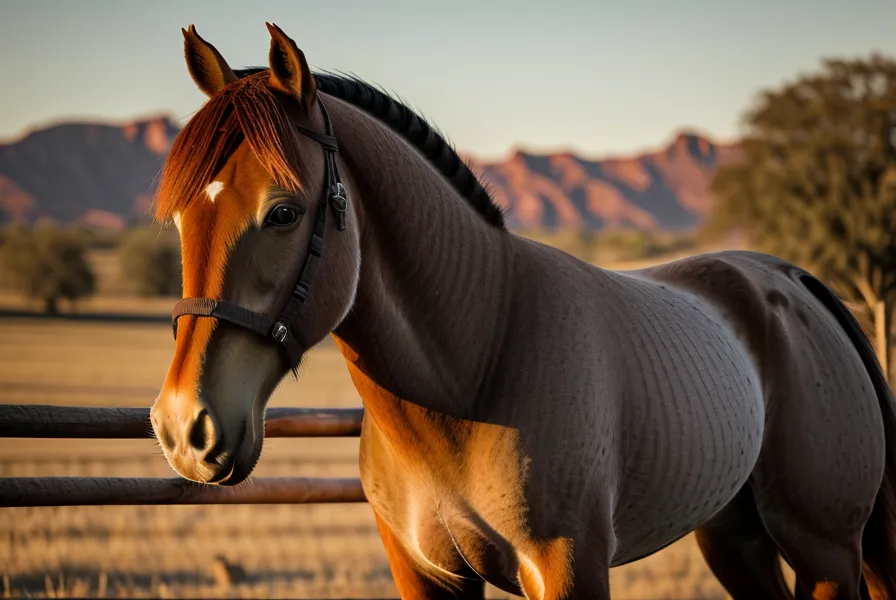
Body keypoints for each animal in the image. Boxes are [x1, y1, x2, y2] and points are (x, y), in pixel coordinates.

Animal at [148, 23, 896, 599]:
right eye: (180, 220)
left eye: (282, 213)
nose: (186, 428)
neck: (479, 360)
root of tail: (794, 282)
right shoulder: (426, 575)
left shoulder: (568, 570)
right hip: (737, 541)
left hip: (825, 552)